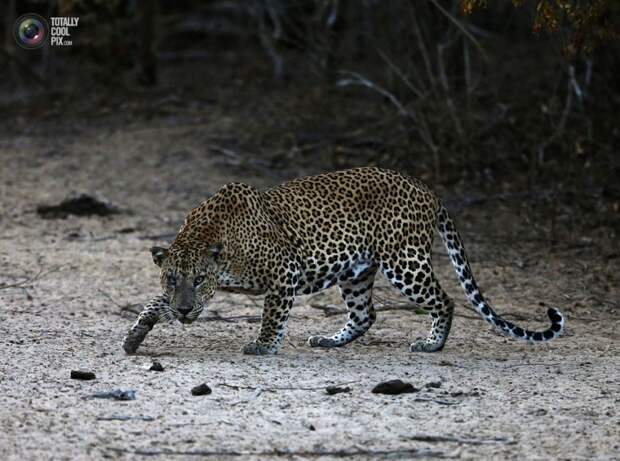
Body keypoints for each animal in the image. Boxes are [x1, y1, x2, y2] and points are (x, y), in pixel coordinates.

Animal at [122, 167, 568, 354]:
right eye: (173, 279)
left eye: (199, 279)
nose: (185, 309)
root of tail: (426, 189)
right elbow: (154, 304)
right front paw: (136, 333)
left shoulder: (284, 273)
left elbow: (272, 315)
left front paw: (264, 346)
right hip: (356, 272)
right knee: (366, 314)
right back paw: (329, 340)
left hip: (405, 261)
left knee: (445, 300)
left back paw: (432, 344)